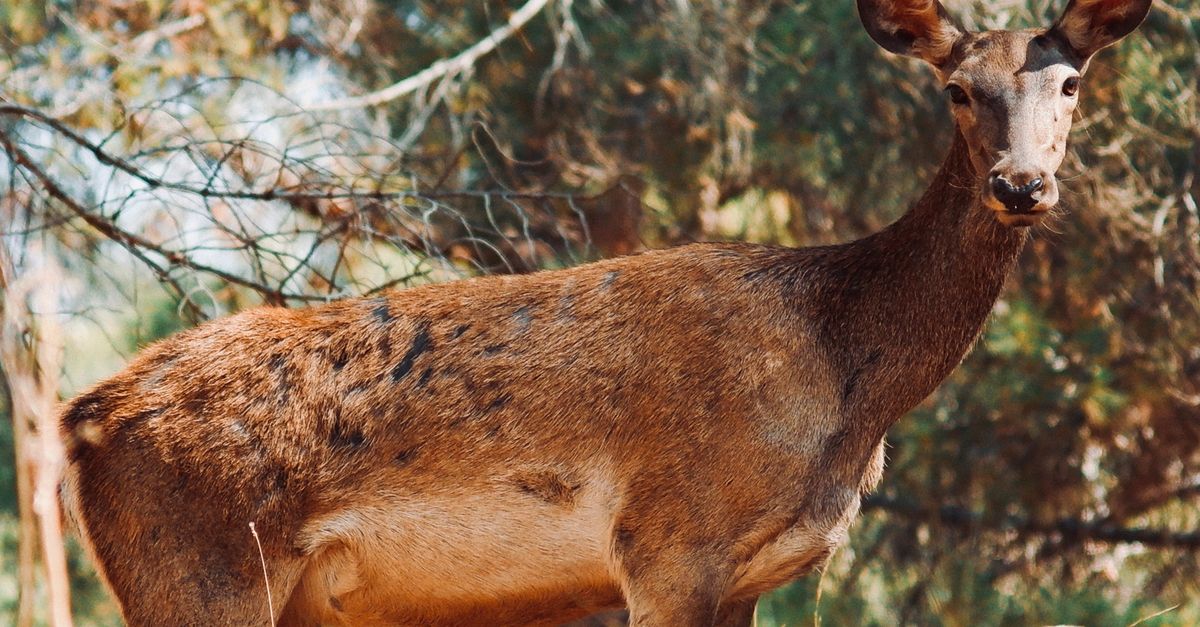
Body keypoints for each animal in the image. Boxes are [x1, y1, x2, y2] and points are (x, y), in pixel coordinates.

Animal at [59, 1, 1151, 625]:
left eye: (1070, 79)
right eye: (958, 88)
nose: (1021, 184)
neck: (847, 391)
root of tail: (81, 419)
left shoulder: (744, 578)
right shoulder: (667, 545)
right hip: (199, 572)